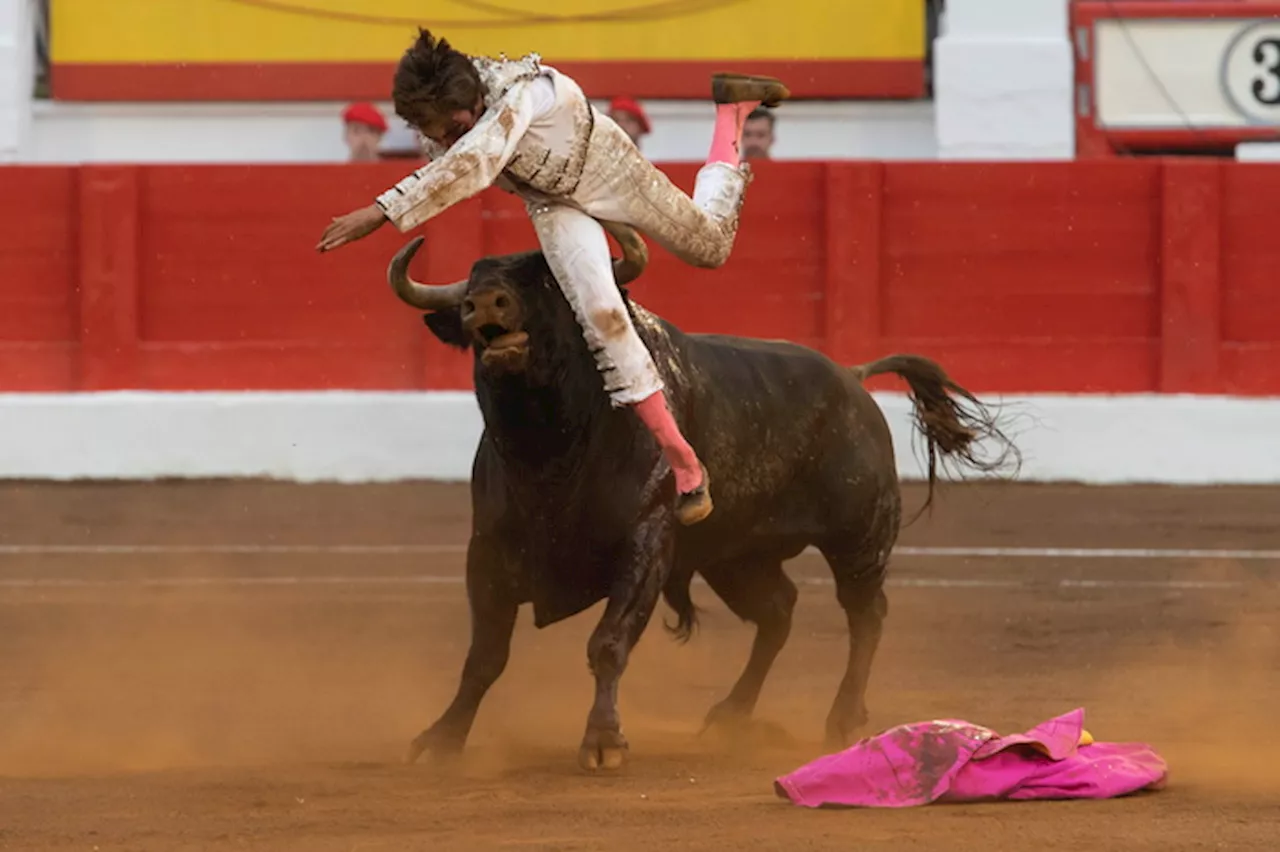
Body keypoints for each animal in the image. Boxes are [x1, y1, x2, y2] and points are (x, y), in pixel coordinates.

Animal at [384, 222, 1013, 767]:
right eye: (474, 281)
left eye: (548, 283)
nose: (484, 304)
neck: (550, 450)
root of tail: (852, 378)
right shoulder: (488, 549)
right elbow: (485, 657)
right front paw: (441, 739)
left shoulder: (646, 542)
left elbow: (608, 642)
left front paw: (603, 741)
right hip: (737, 557)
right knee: (778, 611)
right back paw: (731, 716)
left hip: (859, 538)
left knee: (866, 615)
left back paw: (841, 718)